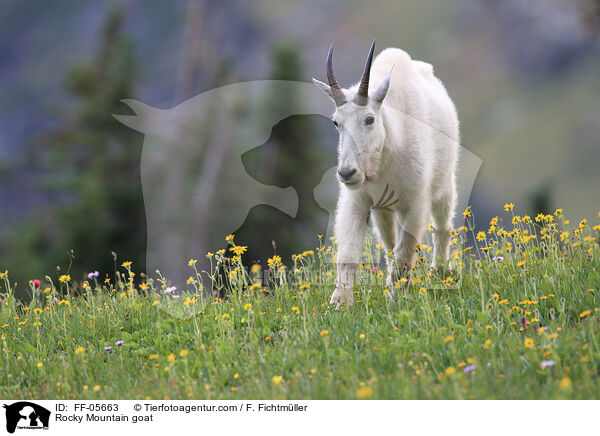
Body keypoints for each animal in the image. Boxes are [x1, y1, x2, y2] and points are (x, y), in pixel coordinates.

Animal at [314, 40, 460, 306]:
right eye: (336, 122)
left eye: (370, 119)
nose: (347, 173)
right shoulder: (357, 200)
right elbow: (349, 253)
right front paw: (339, 303)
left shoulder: (414, 204)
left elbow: (404, 255)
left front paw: (395, 301)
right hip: (382, 210)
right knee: (389, 244)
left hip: (445, 183)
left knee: (442, 227)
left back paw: (439, 273)